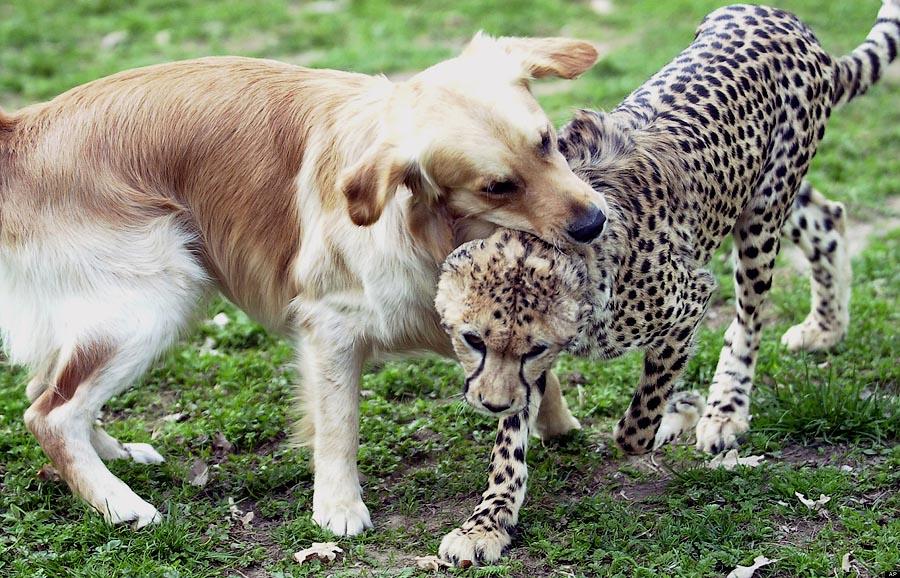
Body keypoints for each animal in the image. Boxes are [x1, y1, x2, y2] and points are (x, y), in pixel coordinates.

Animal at [0, 35, 608, 532]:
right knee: (50, 414)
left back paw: (118, 454)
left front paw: (556, 422)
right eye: (497, 186)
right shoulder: (331, 323)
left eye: (547, 142)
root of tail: (24, 128)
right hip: (156, 299)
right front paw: (338, 507)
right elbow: (339, 424)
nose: (593, 223)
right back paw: (120, 503)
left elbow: (531, 363)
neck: (429, 224)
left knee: (47, 390)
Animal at [432, 2, 896, 564]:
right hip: (757, 194)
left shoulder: (689, 300)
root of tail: (782, 19)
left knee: (748, 319)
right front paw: (488, 522)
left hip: (762, 216)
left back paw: (725, 410)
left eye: (535, 346)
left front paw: (677, 416)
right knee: (827, 216)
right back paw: (825, 328)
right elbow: (508, 448)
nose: (491, 403)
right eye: (472, 339)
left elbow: (639, 420)